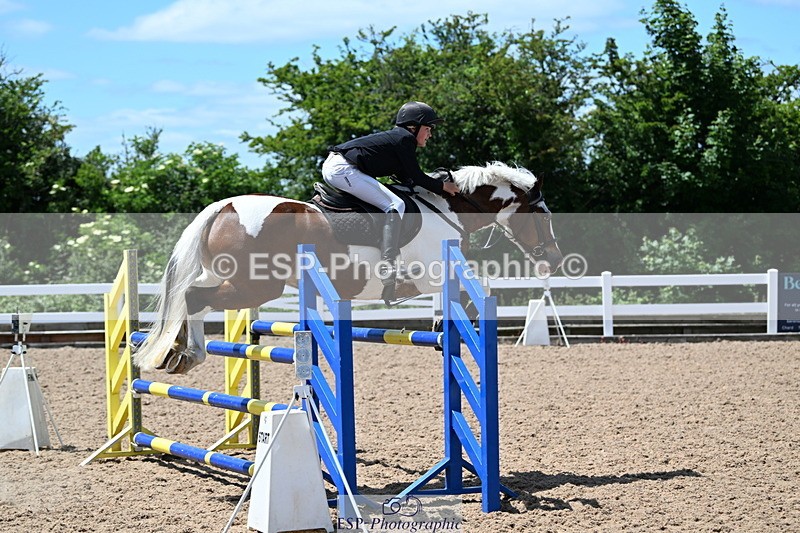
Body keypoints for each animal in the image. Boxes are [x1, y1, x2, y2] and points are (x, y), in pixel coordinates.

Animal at [133, 161, 563, 374]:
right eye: (543, 214)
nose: (555, 259)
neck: (448, 208)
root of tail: (224, 206)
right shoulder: (432, 275)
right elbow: (478, 293)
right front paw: (452, 331)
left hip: (226, 275)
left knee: (191, 297)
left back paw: (176, 354)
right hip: (257, 286)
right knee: (194, 297)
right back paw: (189, 355)